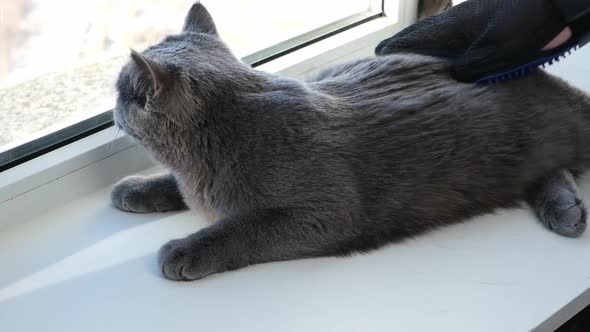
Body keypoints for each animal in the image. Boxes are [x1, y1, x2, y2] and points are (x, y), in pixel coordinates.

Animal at [111, 3, 590, 282]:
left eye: (120, 90)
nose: (113, 105)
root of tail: (541, 77)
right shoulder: (191, 181)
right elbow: (175, 186)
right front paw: (136, 188)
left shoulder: (325, 214)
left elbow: (242, 228)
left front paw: (187, 249)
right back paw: (565, 208)